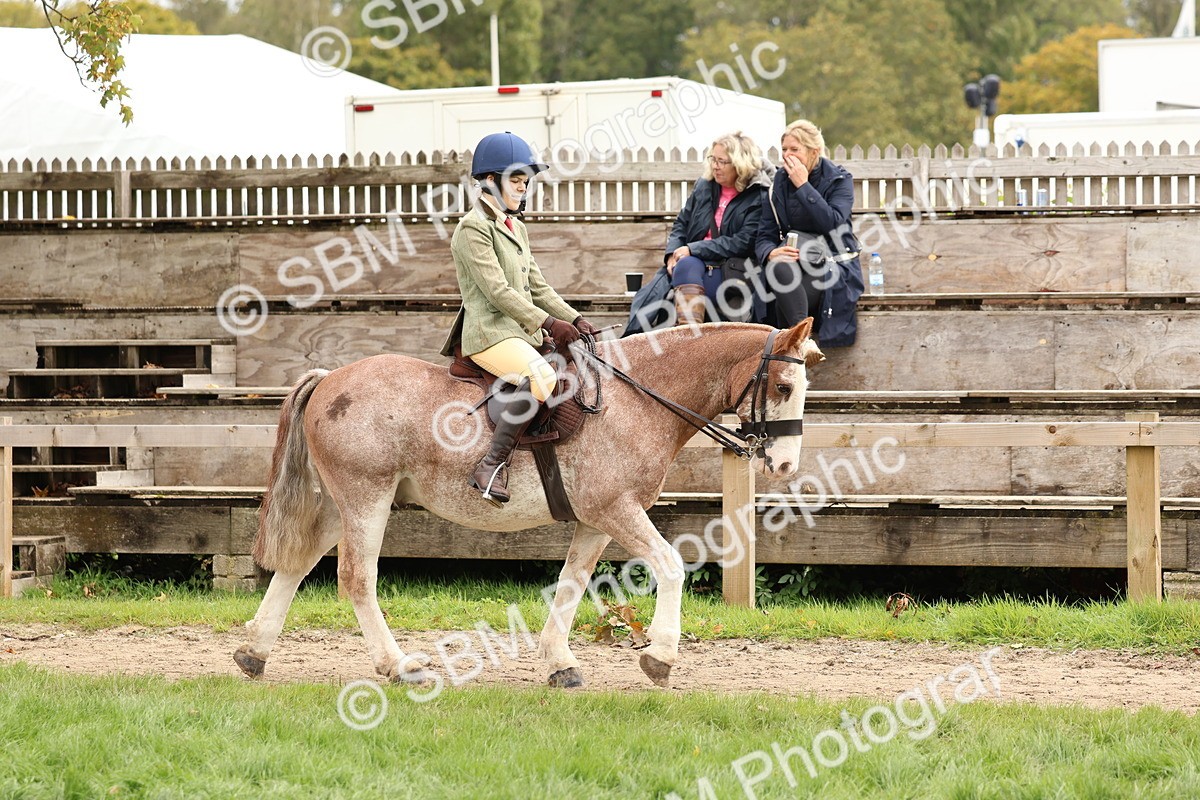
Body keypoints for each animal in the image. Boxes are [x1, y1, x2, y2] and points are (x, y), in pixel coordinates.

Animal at [233, 318, 824, 689]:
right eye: (784, 386)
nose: (785, 465)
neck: (638, 397)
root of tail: (330, 377)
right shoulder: (615, 510)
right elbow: (671, 565)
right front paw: (660, 656)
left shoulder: (597, 520)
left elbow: (572, 582)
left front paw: (559, 663)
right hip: (366, 498)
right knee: (356, 577)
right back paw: (398, 666)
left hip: (344, 505)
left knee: (298, 563)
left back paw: (254, 652)